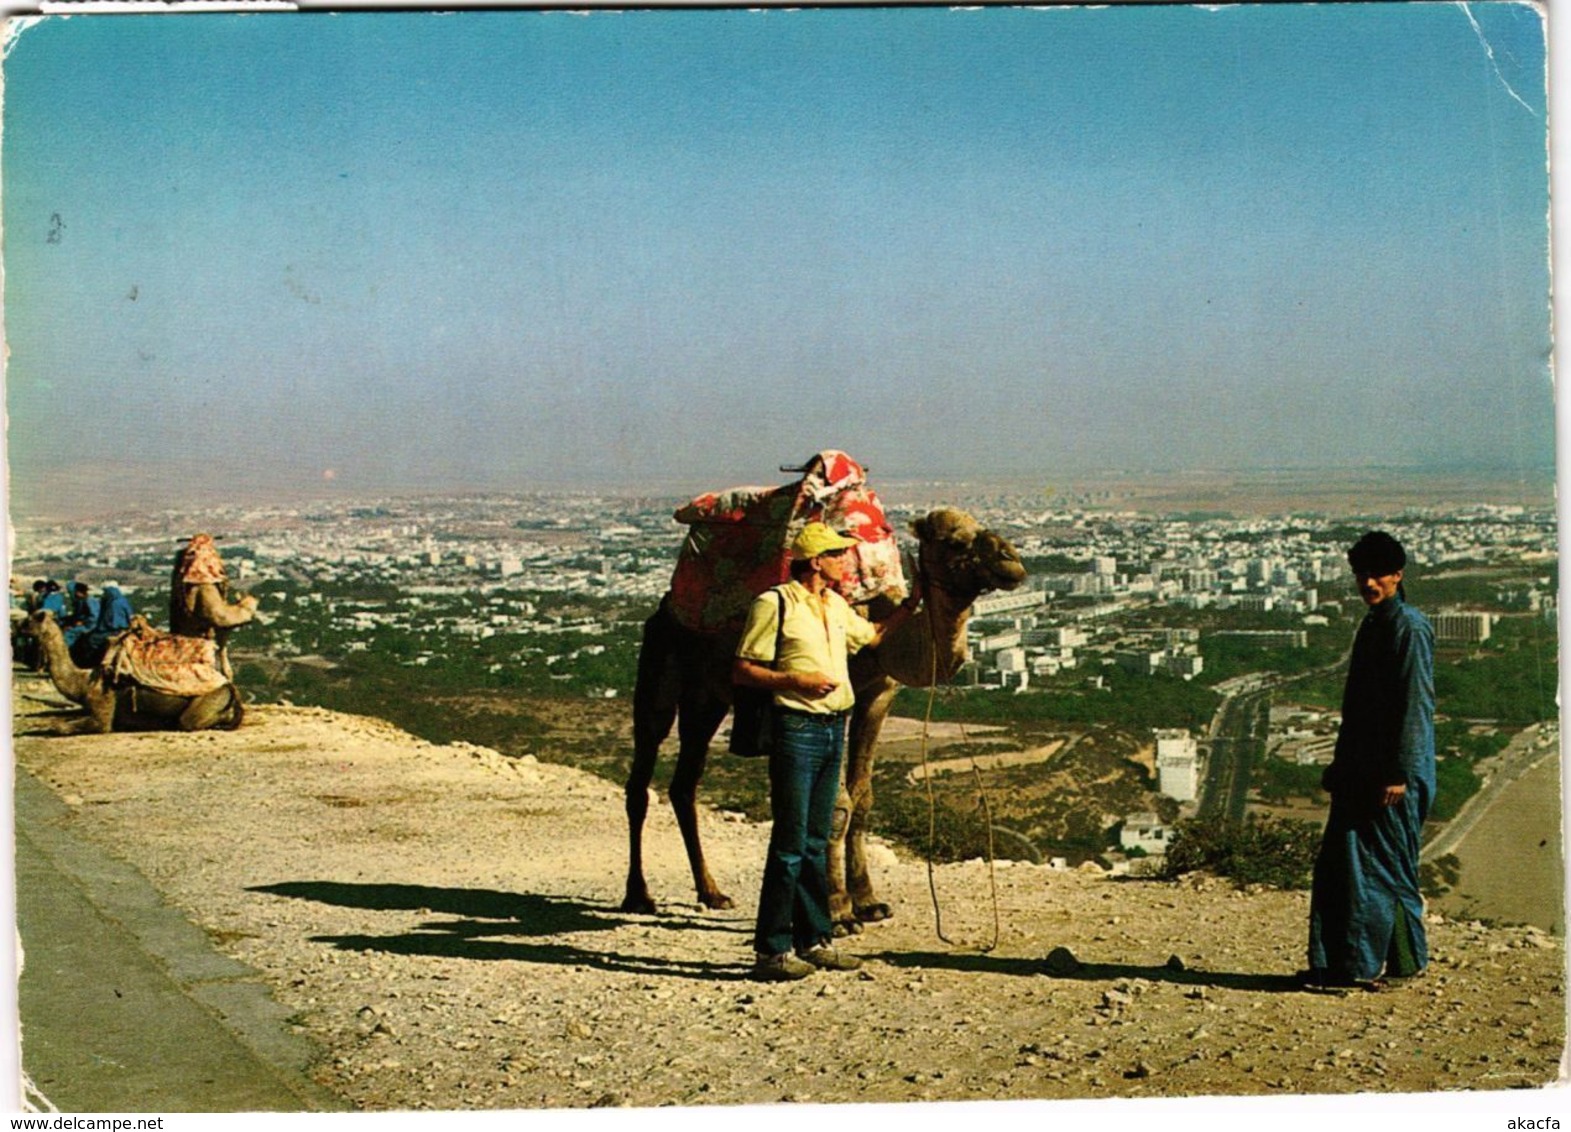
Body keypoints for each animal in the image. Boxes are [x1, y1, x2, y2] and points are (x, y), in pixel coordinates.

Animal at [22, 609, 245, 731]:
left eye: (29, 621)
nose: (17, 626)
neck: (82, 683)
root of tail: (228, 685)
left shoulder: (102, 706)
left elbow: (62, 727)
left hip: (209, 698)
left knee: (187, 721)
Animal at [625, 508, 1030, 929]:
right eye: (954, 541)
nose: (1011, 561)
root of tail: (666, 605)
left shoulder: (879, 695)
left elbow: (862, 797)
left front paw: (868, 901)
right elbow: (838, 805)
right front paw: (838, 911)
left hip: (707, 698)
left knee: (684, 784)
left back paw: (712, 892)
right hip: (659, 662)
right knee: (643, 770)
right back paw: (638, 895)